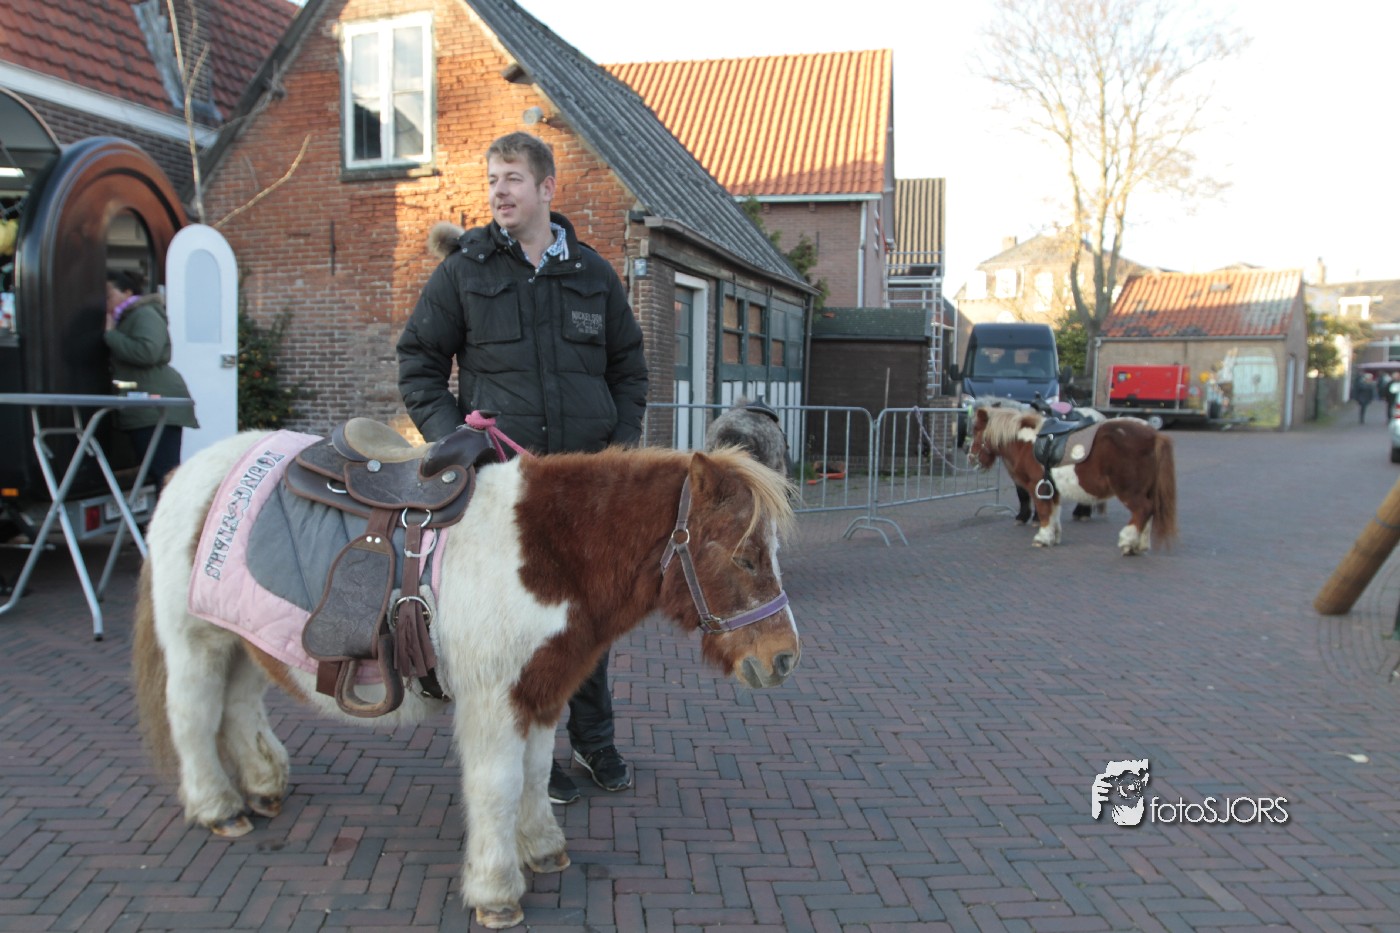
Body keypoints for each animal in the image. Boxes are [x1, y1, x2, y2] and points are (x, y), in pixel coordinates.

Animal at [132, 430, 800, 930]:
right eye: (743, 556)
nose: (785, 659)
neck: (547, 554)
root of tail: (191, 473)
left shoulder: (539, 691)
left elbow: (536, 772)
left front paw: (543, 849)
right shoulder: (494, 701)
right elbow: (498, 786)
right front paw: (496, 892)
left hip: (246, 640)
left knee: (239, 709)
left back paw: (264, 787)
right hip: (197, 642)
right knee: (193, 715)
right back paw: (218, 808)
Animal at [967, 404, 1177, 555]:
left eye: (976, 430)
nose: (970, 458)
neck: (1027, 443)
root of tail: (1154, 434)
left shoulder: (1037, 487)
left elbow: (1044, 511)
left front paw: (1042, 538)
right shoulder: (1051, 488)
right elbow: (1053, 512)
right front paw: (1053, 536)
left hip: (1129, 491)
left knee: (1143, 509)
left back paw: (1128, 542)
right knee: (1150, 511)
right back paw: (1140, 544)